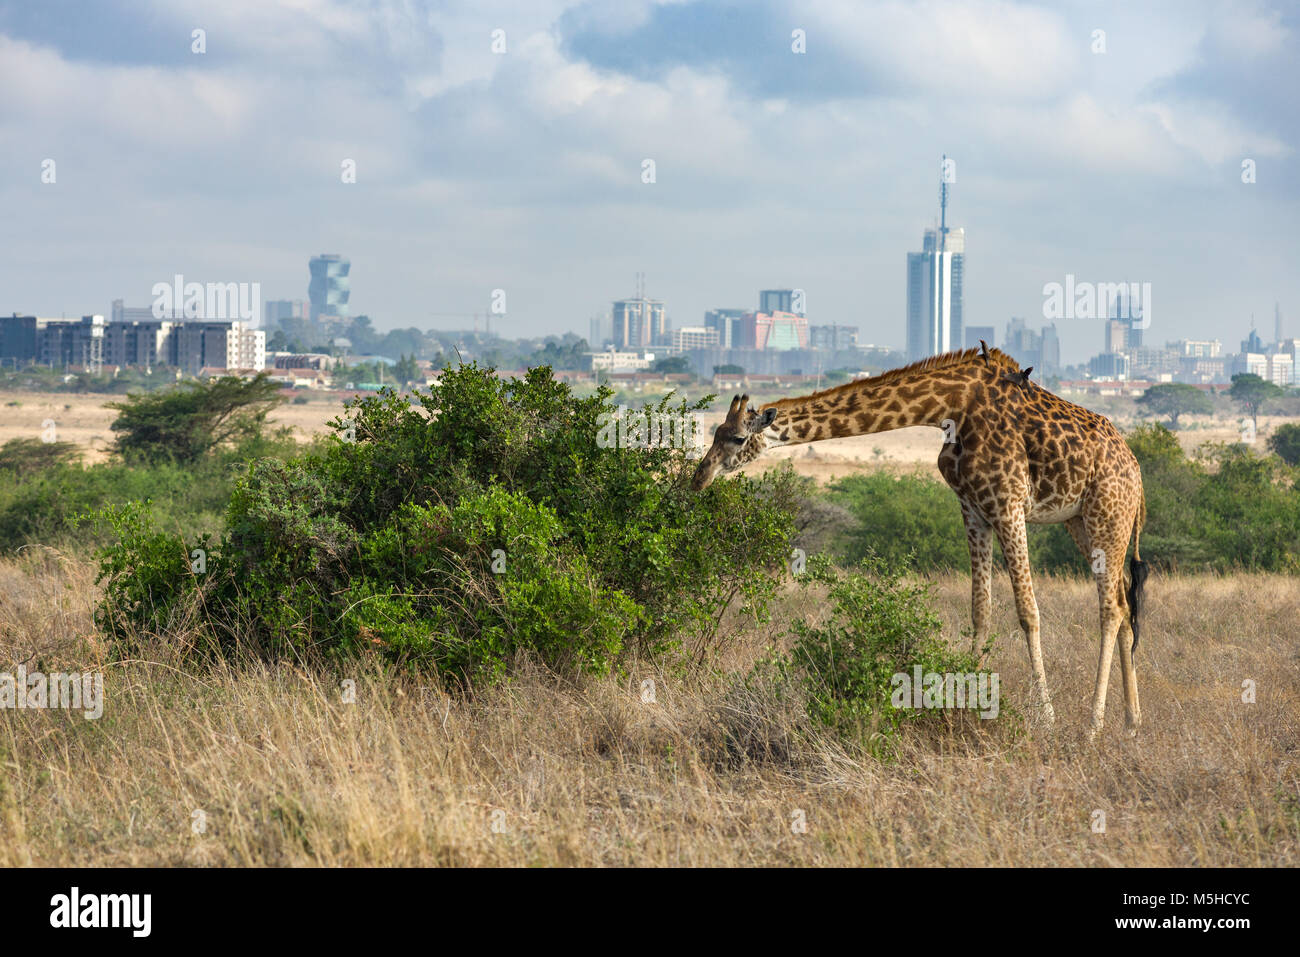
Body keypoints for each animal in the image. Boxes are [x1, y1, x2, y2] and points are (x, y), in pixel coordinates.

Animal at [691, 345, 1149, 738]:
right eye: (714, 432)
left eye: (735, 438)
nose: (699, 478)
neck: (952, 406)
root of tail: (1137, 473)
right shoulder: (973, 508)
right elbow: (980, 611)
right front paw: (966, 704)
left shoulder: (1009, 503)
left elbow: (1027, 611)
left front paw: (1046, 719)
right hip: (1079, 522)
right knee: (1124, 601)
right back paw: (1131, 722)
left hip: (1107, 515)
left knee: (1110, 608)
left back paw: (1093, 725)